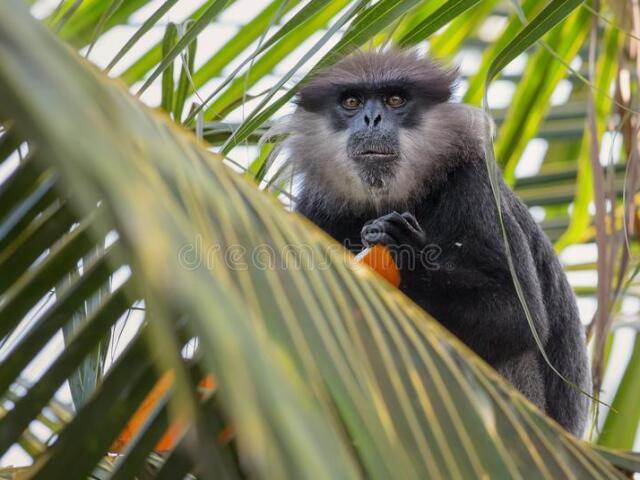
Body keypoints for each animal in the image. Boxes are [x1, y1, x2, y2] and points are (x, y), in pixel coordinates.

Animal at [268, 49, 592, 438]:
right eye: (351, 101)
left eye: (395, 100)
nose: (372, 118)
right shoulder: (314, 209)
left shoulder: (475, 184)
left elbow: (516, 315)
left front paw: (409, 257)